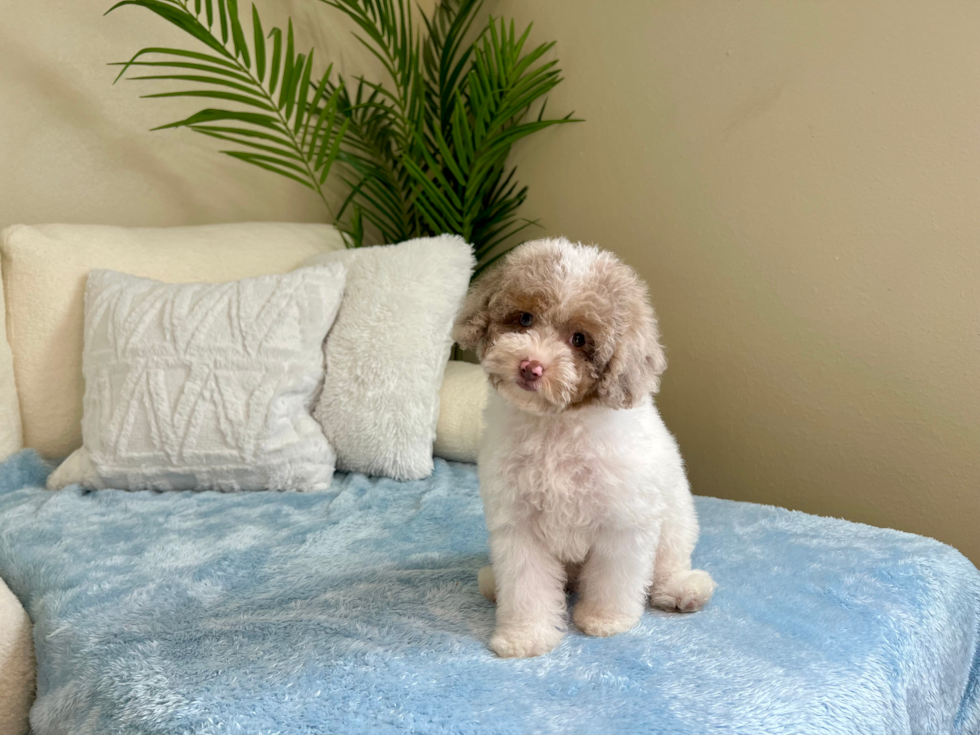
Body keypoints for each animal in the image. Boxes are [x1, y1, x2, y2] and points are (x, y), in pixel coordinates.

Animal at [456, 239, 716, 660]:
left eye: (579, 339)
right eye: (524, 319)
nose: (531, 366)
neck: (556, 426)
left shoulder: (623, 520)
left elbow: (614, 576)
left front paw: (605, 619)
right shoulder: (519, 525)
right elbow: (526, 584)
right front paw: (525, 635)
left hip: (676, 524)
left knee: (667, 565)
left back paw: (683, 590)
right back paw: (494, 584)